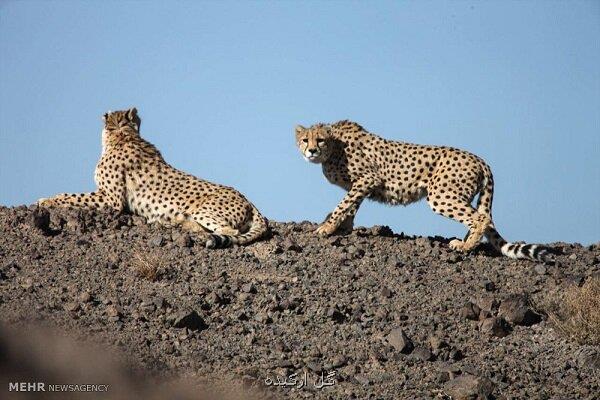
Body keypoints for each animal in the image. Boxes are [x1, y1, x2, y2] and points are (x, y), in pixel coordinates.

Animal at [38, 108, 268, 248]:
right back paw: (174, 222)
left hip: (203, 209)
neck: (124, 135)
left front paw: (47, 200)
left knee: (228, 230)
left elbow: (73, 196)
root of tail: (249, 200)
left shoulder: (112, 200)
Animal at [296, 119, 552, 262]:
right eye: (304, 140)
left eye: (319, 140)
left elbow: (343, 205)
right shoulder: (360, 185)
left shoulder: (367, 178)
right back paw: (464, 242)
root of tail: (480, 159)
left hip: (440, 195)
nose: (311, 151)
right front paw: (344, 228)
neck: (334, 147)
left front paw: (327, 228)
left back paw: (465, 246)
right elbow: (351, 206)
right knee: (480, 217)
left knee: (480, 218)